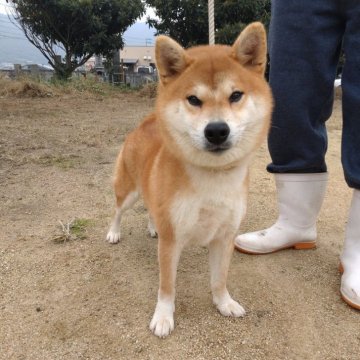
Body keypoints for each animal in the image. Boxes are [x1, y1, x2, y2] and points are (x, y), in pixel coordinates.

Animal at [107, 22, 272, 338]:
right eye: (194, 100)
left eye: (236, 95)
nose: (217, 130)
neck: (212, 177)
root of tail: (145, 123)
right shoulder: (172, 241)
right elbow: (167, 286)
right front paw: (163, 317)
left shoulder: (224, 236)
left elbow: (219, 279)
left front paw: (224, 303)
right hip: (128, 191)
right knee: (118, 210)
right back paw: (113, 232)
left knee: (151, 210)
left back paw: (152, 228)